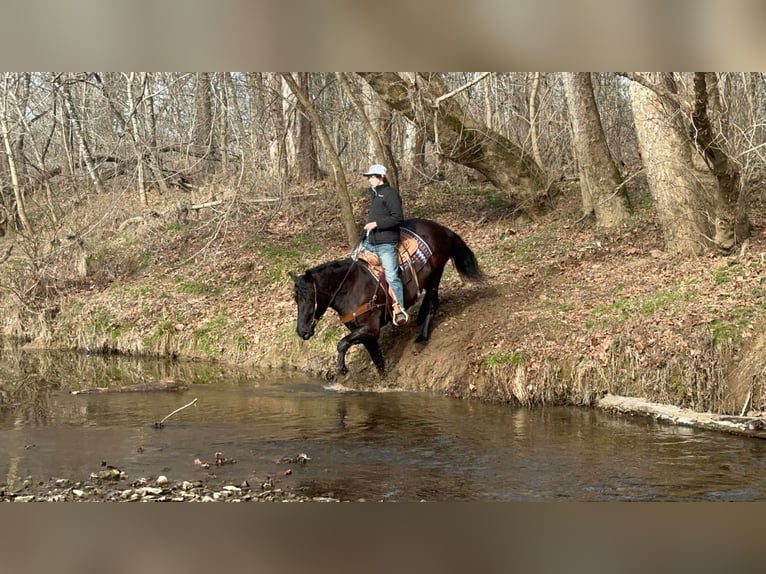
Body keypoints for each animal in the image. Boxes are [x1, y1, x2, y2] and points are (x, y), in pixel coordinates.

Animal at [292, 218, 484, 376]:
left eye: (310, 298)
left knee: (432, 303)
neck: (352, 287)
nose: (302, 332)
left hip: (435, 274)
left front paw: (341, 367)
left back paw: (421, 339)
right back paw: (419, 318)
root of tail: (442, 229)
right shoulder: (366, 334)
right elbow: (377, 360)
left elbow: (342, 343)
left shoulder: (370, 328)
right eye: (296, 300)